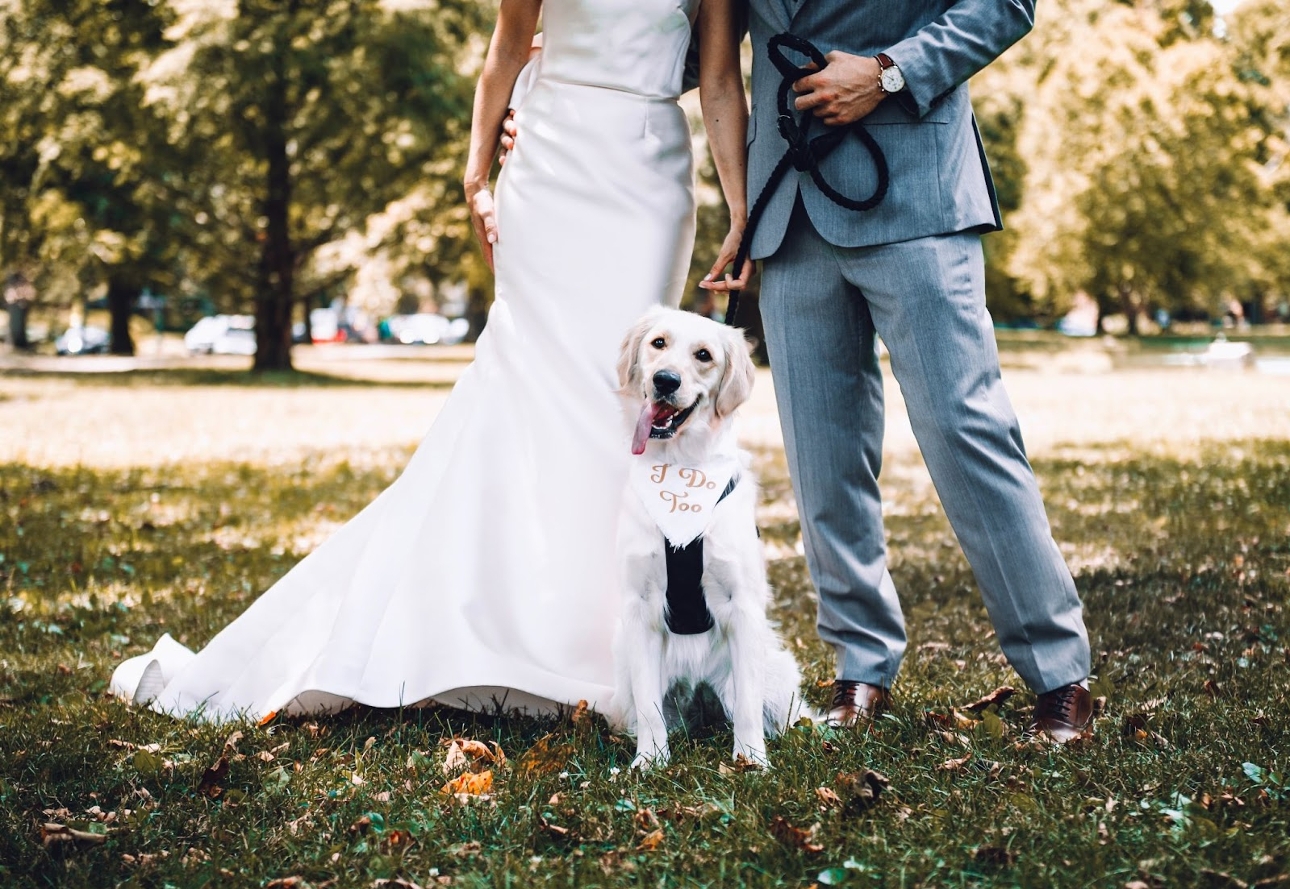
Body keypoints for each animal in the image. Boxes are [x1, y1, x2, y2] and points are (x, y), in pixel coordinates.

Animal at [611, 308, 804, 763]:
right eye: (658, 343)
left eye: (703, 355)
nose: (665, 380)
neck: (682, 468)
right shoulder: (638, 607)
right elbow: (649, 708)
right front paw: (649, 762)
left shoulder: (743, 606)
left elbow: (749, 705)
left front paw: (750, 762)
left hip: (776, 671)